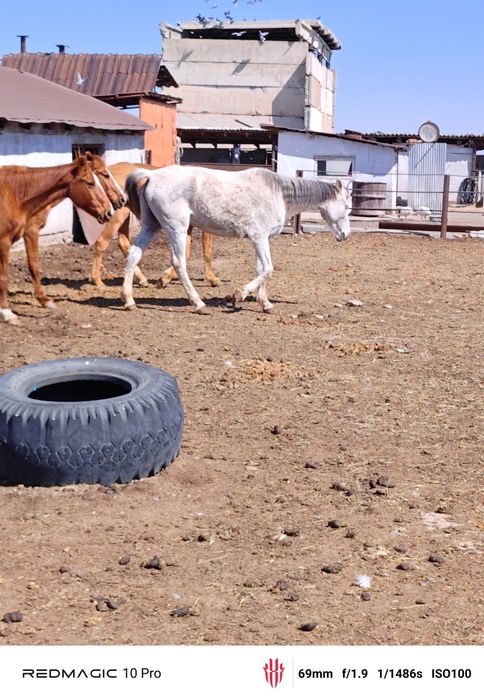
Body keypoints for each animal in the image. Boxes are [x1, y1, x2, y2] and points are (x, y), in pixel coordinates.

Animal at [0, 154, 114, 325]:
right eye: (90, 184)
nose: (109, 212)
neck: (15, 193)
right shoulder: (7, 241)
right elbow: (4, 277)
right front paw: (6, 312)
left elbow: (34, 266)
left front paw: (44, 300)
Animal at [89, 162, 220, 291]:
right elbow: (205, 252)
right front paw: (212, 279)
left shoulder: (187, 227)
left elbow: (186, 253)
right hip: (117, 217)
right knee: (101, 242)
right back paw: (97, 281)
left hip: (124, 216)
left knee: (123, 243)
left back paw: (141, 279)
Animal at [121, 166, 351, 314]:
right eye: (346, 206)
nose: (345, 235)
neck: (278, 193)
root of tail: (151, 175)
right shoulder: (259, 238)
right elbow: (268, 269)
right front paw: (238, 295)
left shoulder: (261, 240)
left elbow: (261, 270)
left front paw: (265, 303)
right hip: (176, 228)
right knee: (179, 263)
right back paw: (198, 304)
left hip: (151, 225)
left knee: (133, 255)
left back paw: (129, 301)